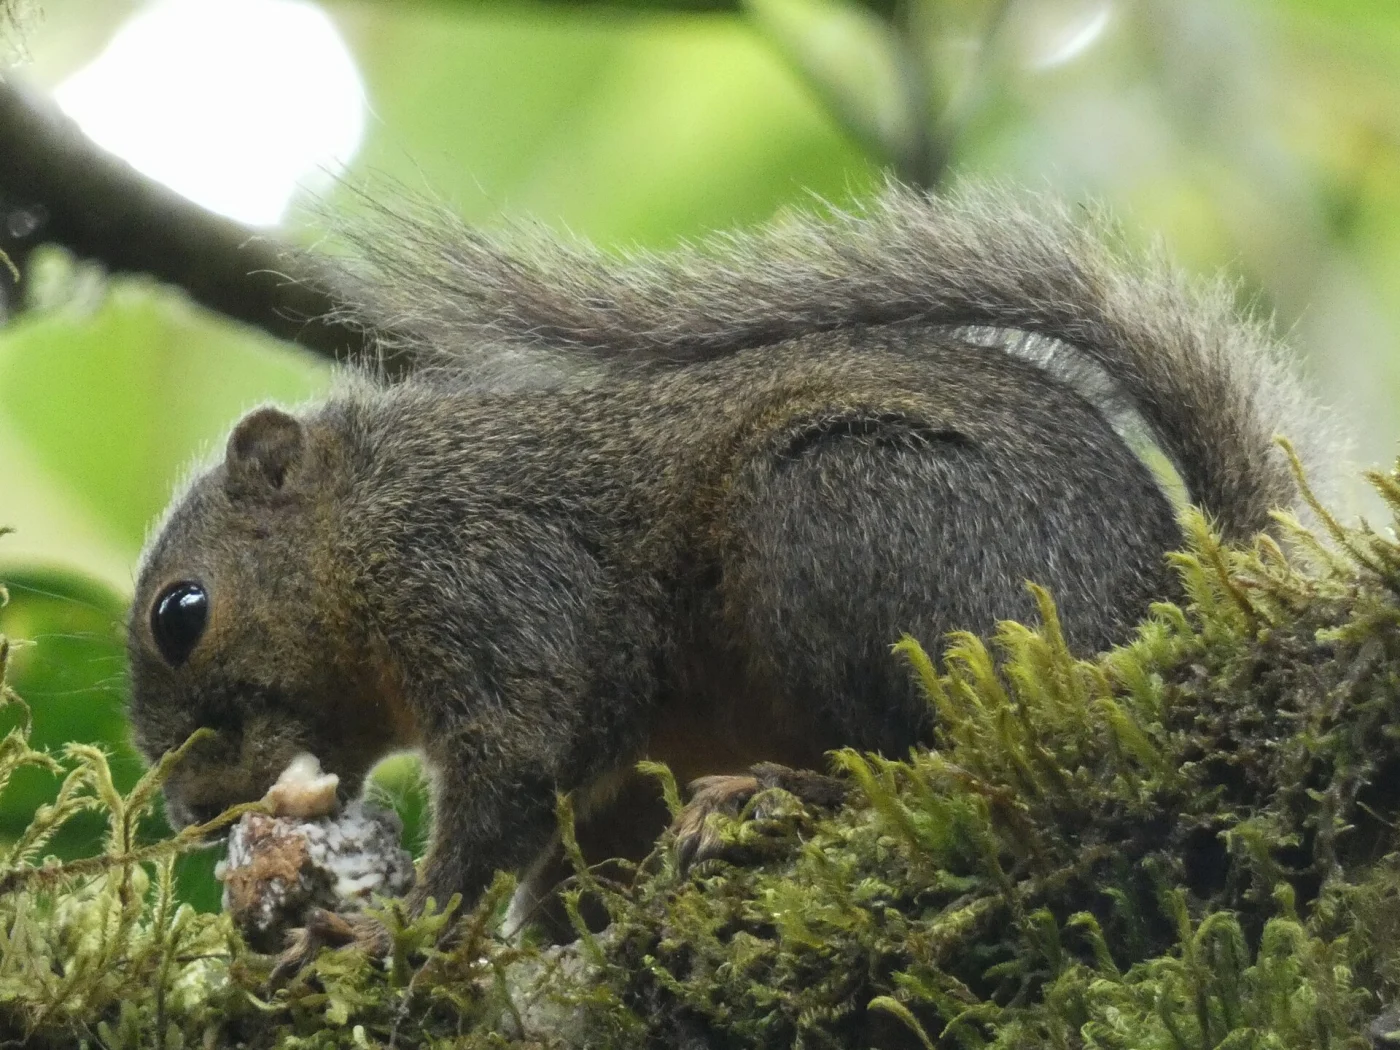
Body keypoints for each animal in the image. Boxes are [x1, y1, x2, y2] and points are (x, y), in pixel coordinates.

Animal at [126, 185, 1336, 942]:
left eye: (181, 613)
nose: (193, 812)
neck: (359, 528)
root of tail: (1180, 605)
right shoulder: (613, 768)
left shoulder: (486, 571)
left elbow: (524, 749)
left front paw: (404, 928)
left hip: (837, 514)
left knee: (930, 756)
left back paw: (776, 793)